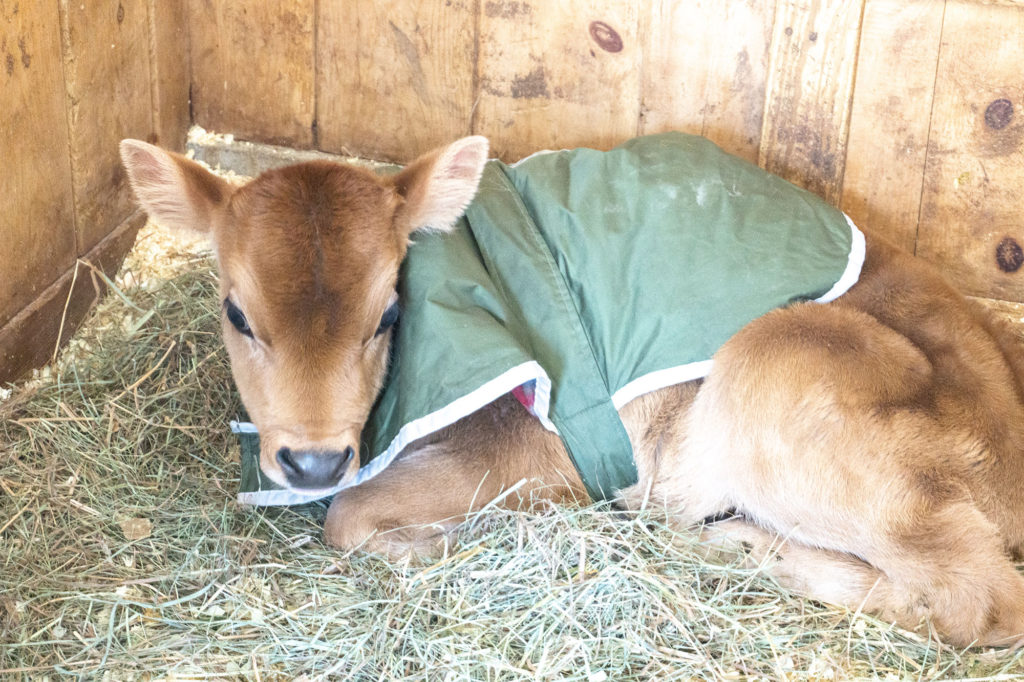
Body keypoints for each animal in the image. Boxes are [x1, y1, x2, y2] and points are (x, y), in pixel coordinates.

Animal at [121, 134, 1024, 647]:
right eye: (236, 311)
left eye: (390, 312)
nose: (311, 461)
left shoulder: (538, 453)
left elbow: (350, 518)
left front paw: (443, 539)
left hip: (781, 372)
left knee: (982, 601)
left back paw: (734, 547)